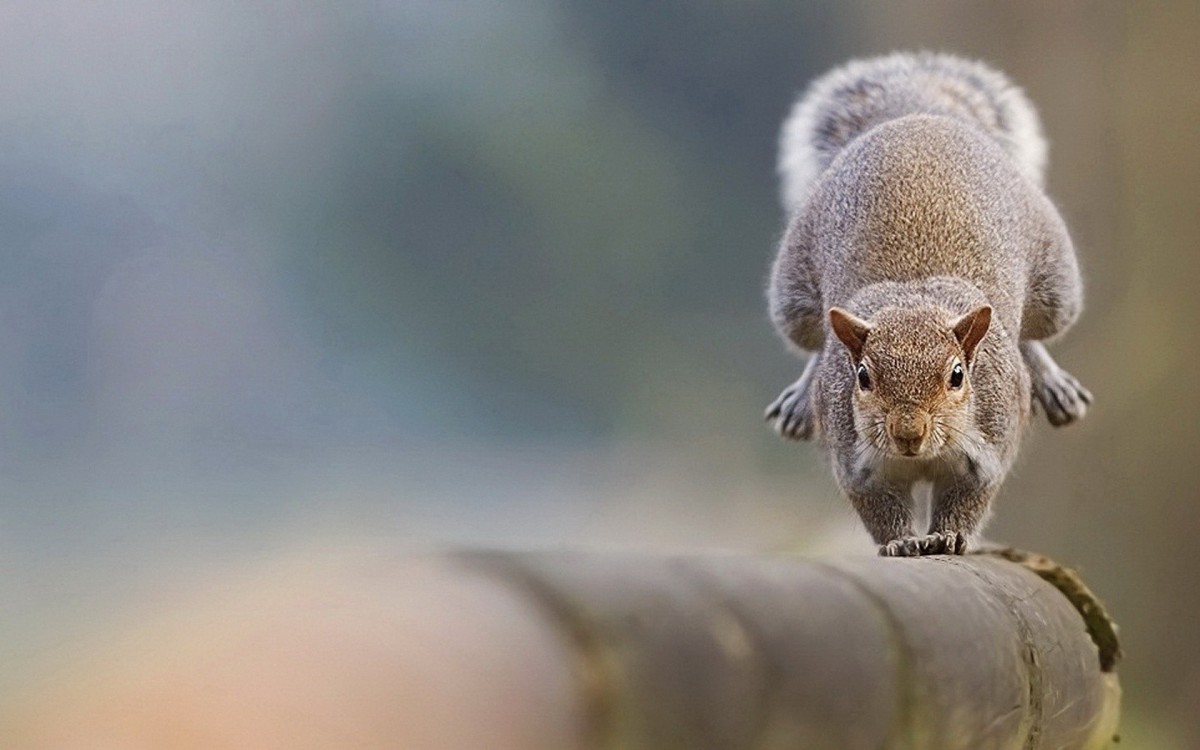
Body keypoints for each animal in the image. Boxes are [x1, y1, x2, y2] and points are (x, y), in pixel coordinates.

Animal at [763, 52, 1094, 556]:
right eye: (863, 376)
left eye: (957, 375)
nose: (908, 433)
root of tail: (918, 117)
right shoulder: (856, 462)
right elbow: (878, 509)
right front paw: (901, 543)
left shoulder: (988, 449)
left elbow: (969, 500)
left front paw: (947, 535)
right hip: (794, 297)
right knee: (815, 341)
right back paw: (801, 397)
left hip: (1056, 287)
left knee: (1031, 334)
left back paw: (1052, 380)